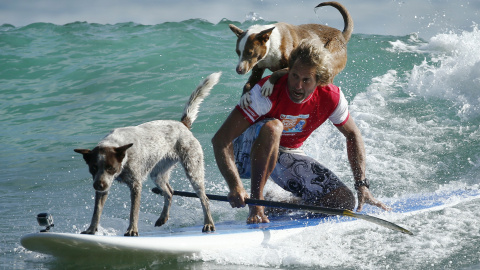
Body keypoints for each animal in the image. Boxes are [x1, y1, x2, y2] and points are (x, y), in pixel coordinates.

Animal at [73, 72, 221, 236]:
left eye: (111, 167)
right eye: (93, 168)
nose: (98, 185)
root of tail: (183, 124)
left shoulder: (135, 185)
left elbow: (133, 211)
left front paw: (132, 229)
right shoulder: (104, 186)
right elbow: (97, 211)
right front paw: (91, 229)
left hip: (193, 170)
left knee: (204, 198)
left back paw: (208, 223)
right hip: (157, 173)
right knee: (170, 192)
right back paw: (162, 218)